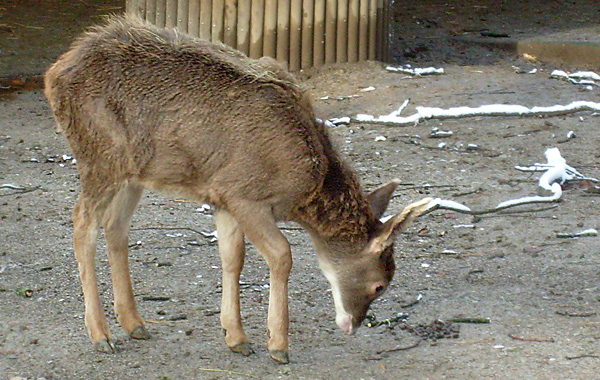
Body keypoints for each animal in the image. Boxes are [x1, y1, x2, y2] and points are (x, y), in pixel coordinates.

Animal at [45, 15, 432, 366]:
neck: (301, 190)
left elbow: (233, 257)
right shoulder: (244, 193)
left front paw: (237, 337)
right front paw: (277, 345)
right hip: (99, 155)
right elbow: (282, 254)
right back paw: (101, 335)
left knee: (115, 227)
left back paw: (134, 324)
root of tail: (54, 75)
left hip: (134, 173)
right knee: (82, 223)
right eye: (380, 284)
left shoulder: (221, 196)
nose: (353, 324)